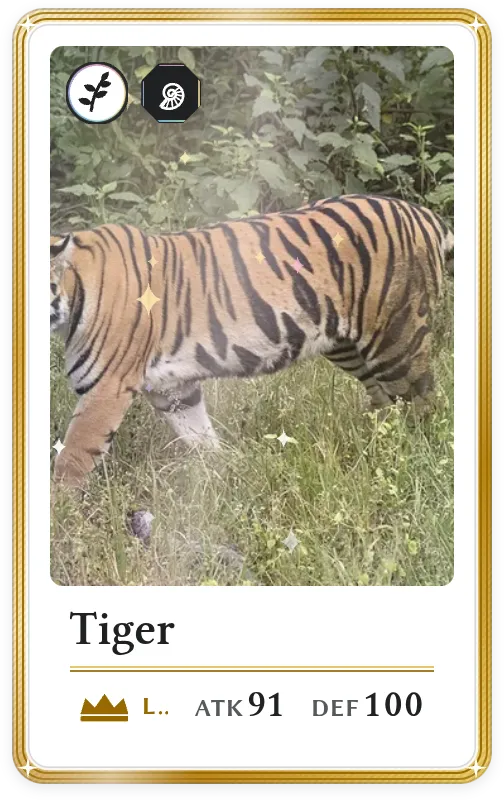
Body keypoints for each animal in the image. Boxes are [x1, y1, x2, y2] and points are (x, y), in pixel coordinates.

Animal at [50, 193, 453, 486]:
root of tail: (422, 214)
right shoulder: (173, 389)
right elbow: (199, 435)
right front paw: (221, 472)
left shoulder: (107, 389)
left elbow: (71, 459)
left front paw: (61, 517)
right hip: (347, 346)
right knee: (386, 402)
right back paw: (378, 446)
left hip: (396, 340)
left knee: (424, 403)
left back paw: (415, 460)